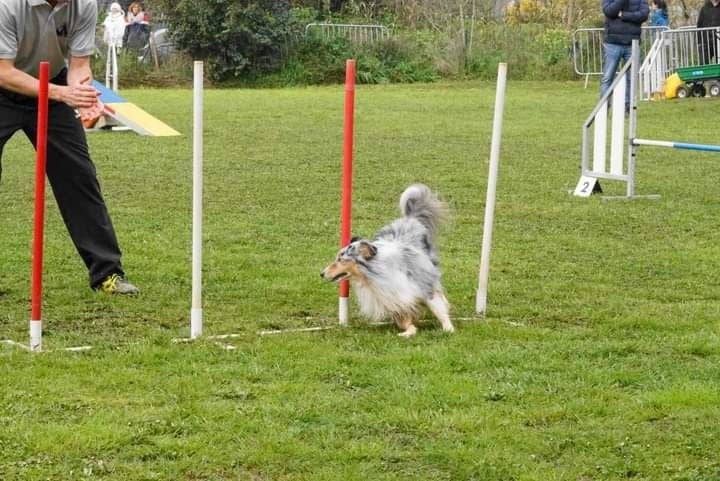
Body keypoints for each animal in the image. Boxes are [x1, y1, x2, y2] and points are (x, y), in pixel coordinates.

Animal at [322, 184, 456, 338]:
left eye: (341, 259)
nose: (322, 273)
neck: (375, 274)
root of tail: (411, 218)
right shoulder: (393, 297)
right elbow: (406, 322)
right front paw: (408, 332)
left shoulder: (422, 285)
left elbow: (438, 308)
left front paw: (448, 328)